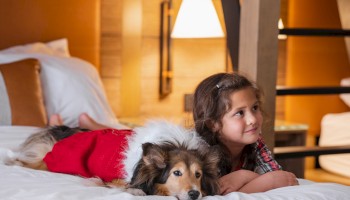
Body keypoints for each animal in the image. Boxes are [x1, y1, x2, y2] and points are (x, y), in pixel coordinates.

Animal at [5, 120, 220, 200]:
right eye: (177, 173)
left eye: (198, 175)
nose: (194, 194)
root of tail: (66, 131)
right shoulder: (116, 178)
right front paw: (137, 191)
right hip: (48, 160)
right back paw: (11, 161)